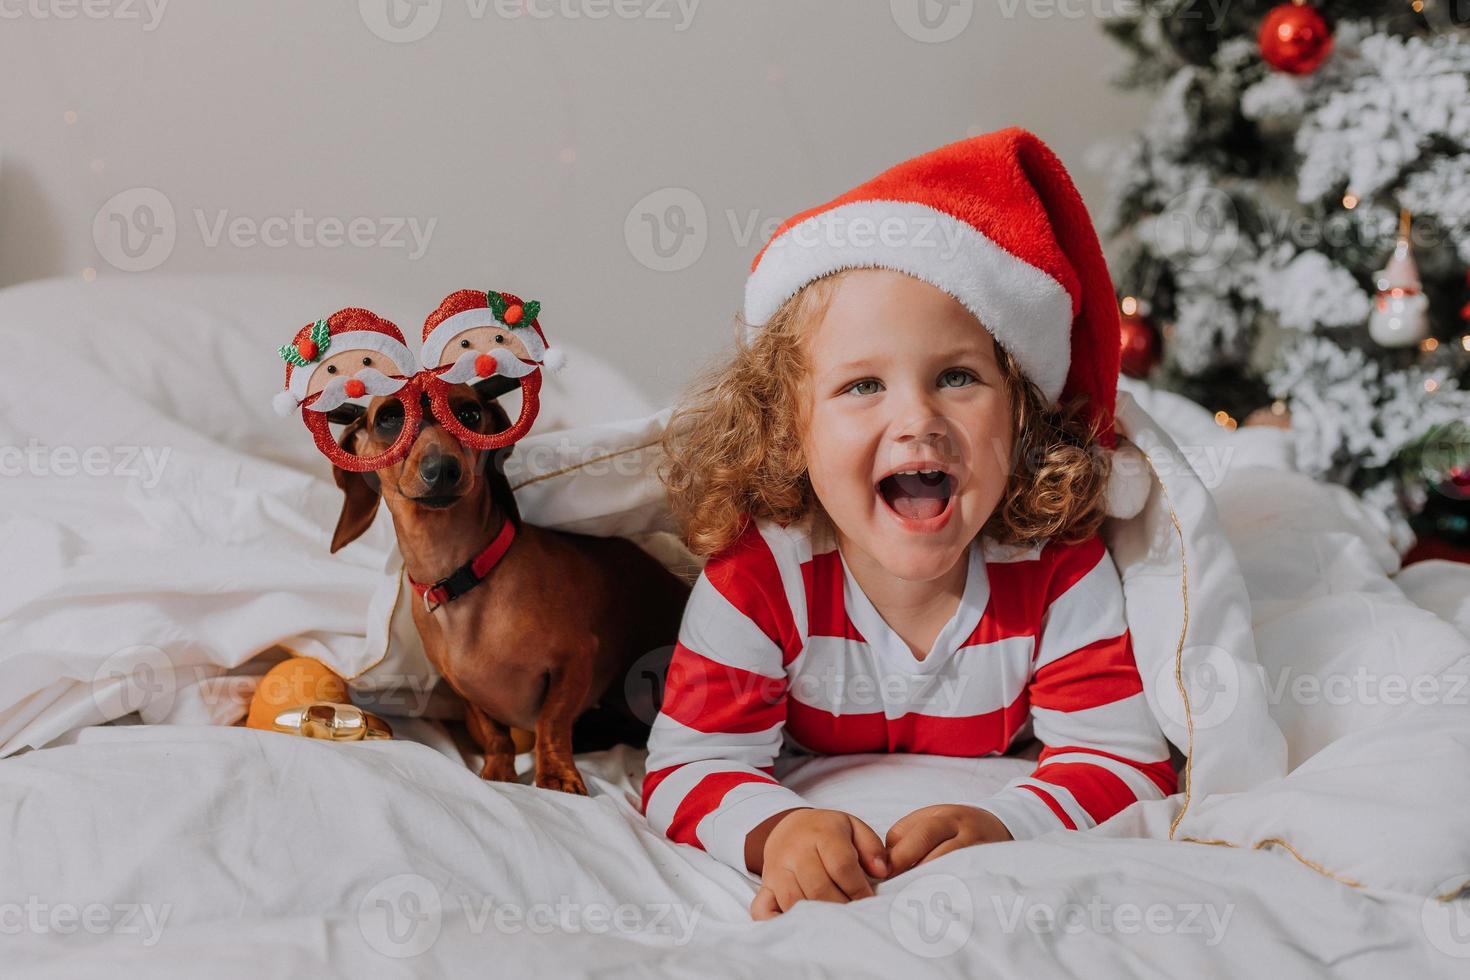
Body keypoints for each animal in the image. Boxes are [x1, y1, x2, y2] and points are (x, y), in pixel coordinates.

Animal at [330, 382, 685, 799]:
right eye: (388, 418)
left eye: (469, 414)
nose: (442, 469)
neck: (464, 577)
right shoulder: (466, 692)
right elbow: (495, 734)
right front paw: (499, 772)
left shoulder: (576, 658)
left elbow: (551, 722)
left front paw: (557, 775)